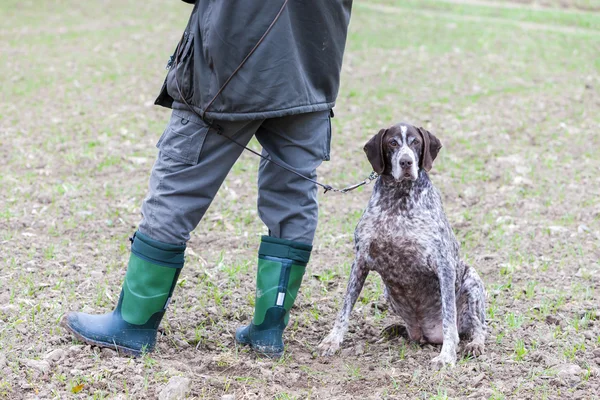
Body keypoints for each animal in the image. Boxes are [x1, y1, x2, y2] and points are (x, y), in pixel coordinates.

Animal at [322, 122, 486, 368]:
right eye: (392, 143)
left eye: (415, 142)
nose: (406, 162)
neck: (398, 199)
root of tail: (429, 334)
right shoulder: (360, 261)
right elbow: (345, 308)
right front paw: (333, 340)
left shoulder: (444, 266)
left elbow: (449, 319)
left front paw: (446, 357)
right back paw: (395, 329)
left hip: (472, 281)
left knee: (477, 327)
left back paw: (474, 344)